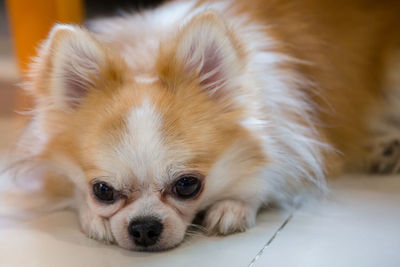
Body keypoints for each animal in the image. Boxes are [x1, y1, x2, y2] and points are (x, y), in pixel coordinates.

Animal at [15, 0, 400, 251]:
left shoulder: (293, 130)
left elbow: (267, 176)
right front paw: (94, 218)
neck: (146, 56)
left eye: (188, 185)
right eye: (102, 191)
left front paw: (234, 205)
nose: (144, 228)